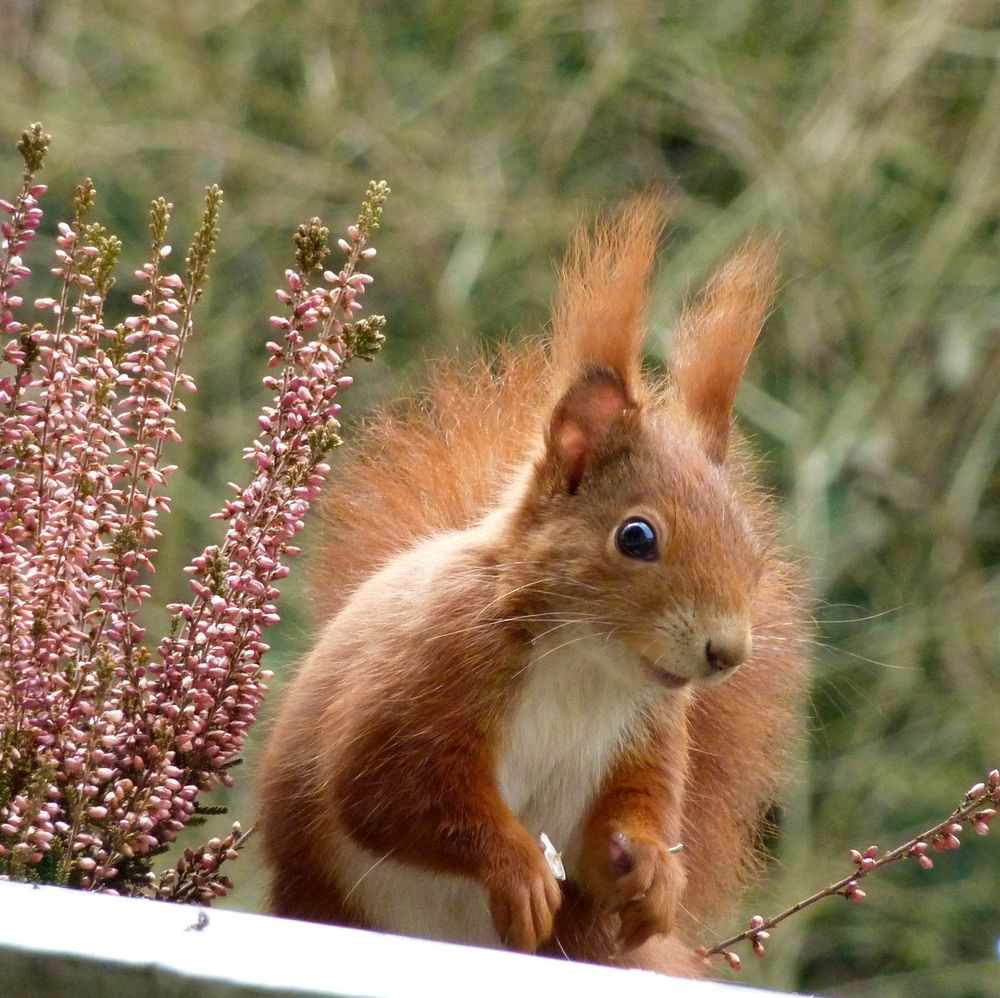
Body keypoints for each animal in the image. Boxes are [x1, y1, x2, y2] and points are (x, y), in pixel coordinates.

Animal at [257, 197, 808, 976]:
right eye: (636, 537)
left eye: (754, 549)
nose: (727, 653)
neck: (585, 664)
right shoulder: (428, 671)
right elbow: (389, 795)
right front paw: (517, 870)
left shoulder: (650, 733)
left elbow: (623, 824)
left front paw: (653, 869)